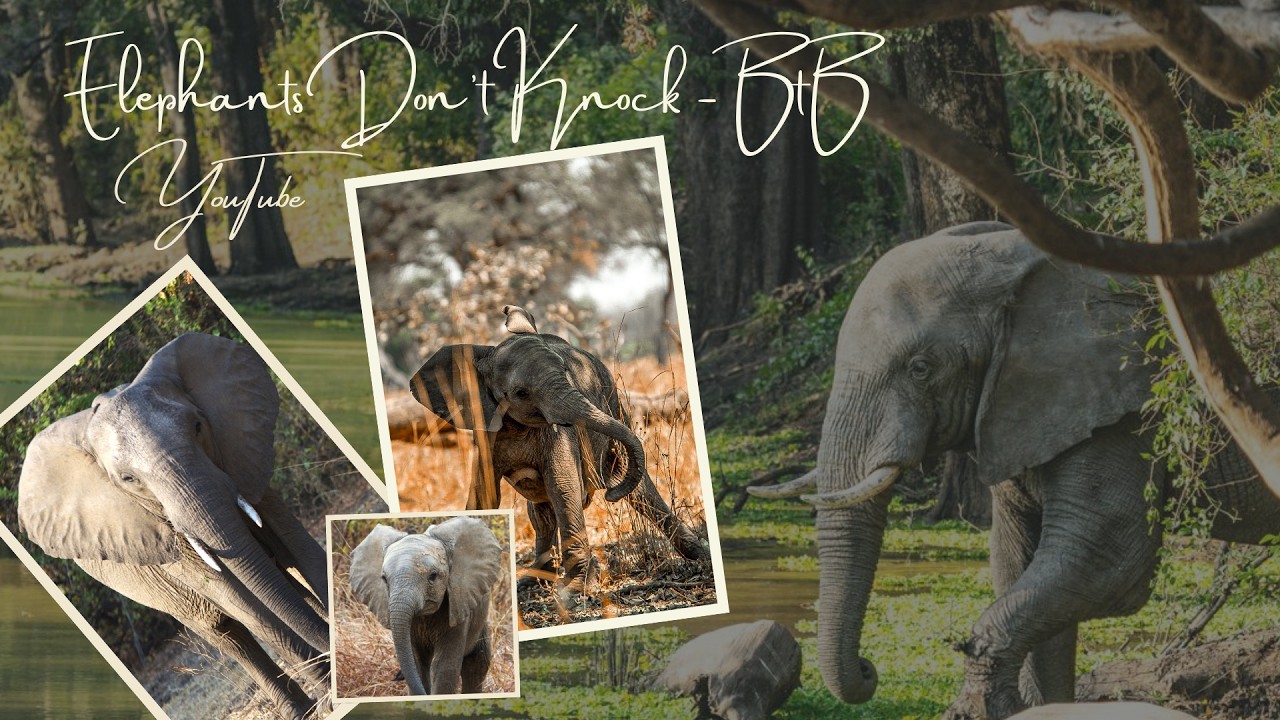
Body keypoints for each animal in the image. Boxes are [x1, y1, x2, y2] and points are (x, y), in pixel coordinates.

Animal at [17, 333, 331, 718]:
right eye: (128, 479)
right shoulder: (162, 542)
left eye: (197, 426)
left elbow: (300, 550)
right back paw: (302, 711)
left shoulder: (237, 456)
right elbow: (246, 605)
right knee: (227, 633)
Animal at [348, 517, 503, 696]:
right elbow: (417, 664)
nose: (396, 677)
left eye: (433, 576)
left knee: (477, 664)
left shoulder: (459, 606)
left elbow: (443, 668)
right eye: (384, 579)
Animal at [410, 305, 708, 597]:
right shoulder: (487, 431)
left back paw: (700, 556)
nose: (610, 494)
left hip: (615, 404)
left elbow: (563, 486)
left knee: (642, 494)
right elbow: (485, 495)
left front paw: (576, 590)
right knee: (541, 514)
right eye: (520, 393)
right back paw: (533, 582)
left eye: (566, 373)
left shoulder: (558, 434)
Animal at [750, 223, 1280, 719]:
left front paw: (988, 705)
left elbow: (1109, 560)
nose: (867, 669)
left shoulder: (1120, 406)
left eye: (921, 368)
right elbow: (1019, 561)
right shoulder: (1017, 408)